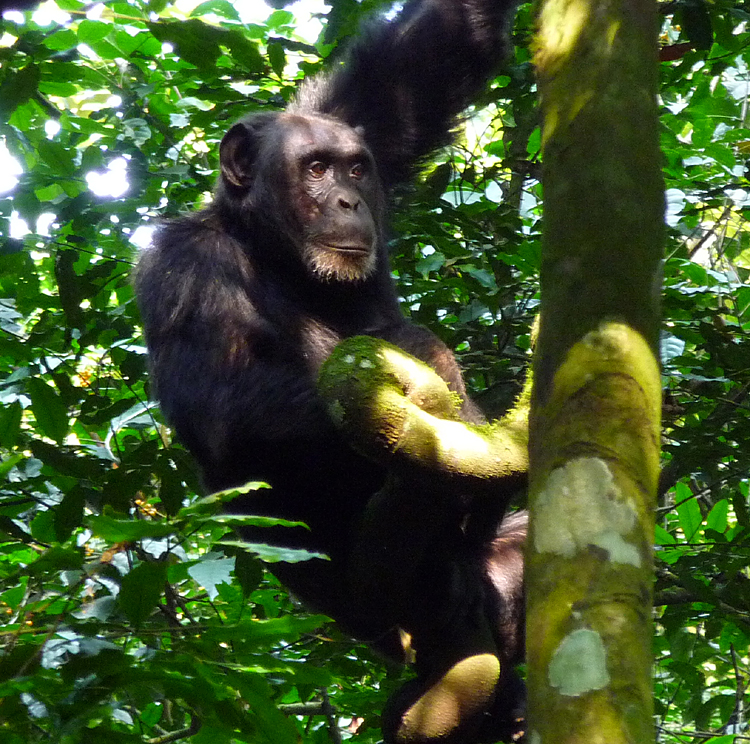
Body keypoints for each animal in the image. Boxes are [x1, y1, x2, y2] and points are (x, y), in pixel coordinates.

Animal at [134, 2, 524, 740]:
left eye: (354, 167)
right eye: (315, 169)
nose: (347, 200)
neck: (269, 247)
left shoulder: (363, 114)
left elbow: (426, 58)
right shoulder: (180, 269)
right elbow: (224, 402)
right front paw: (461, 430)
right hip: (361, 602)